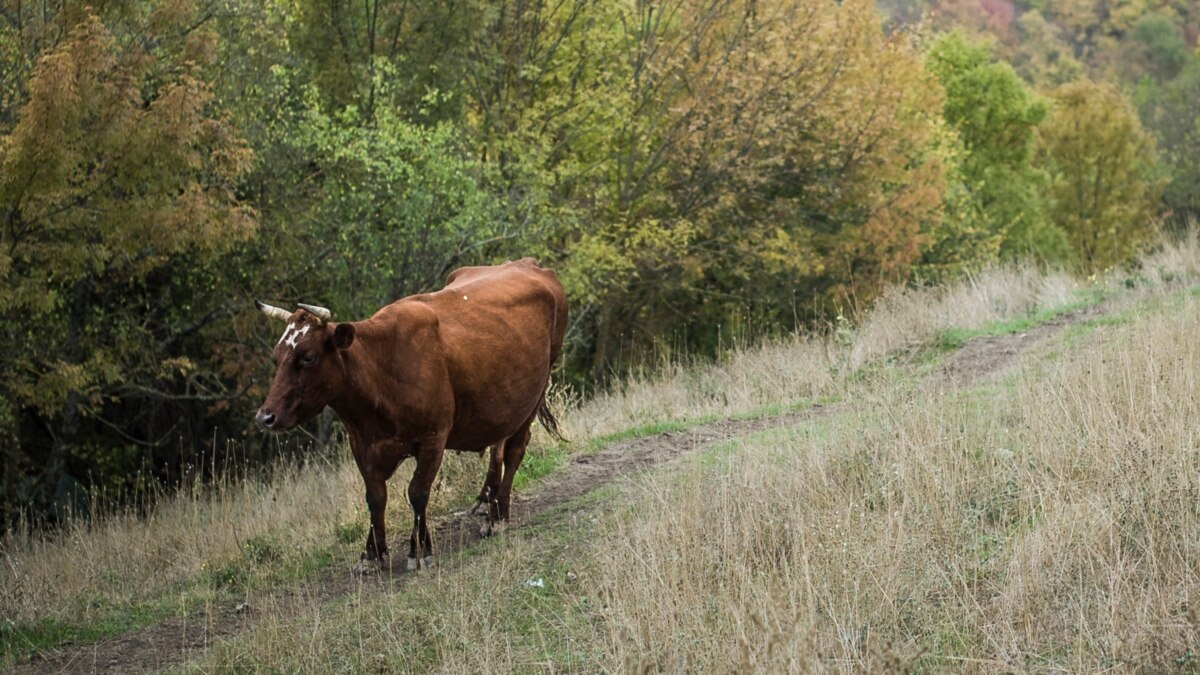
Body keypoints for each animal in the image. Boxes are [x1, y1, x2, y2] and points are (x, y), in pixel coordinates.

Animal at [252, 254, 566, 569]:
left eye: (308, 357)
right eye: (276, 358)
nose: (265, 417)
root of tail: (526, 262)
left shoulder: (433, 438)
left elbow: (417, 492)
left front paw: (419, 549)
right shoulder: (361, 444)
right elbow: (375, 497)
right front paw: (373, 553)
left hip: (536, 393)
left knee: (514, 450)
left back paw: (498, 515)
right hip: (503, 401)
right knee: (497, 445)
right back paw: (484, 499)